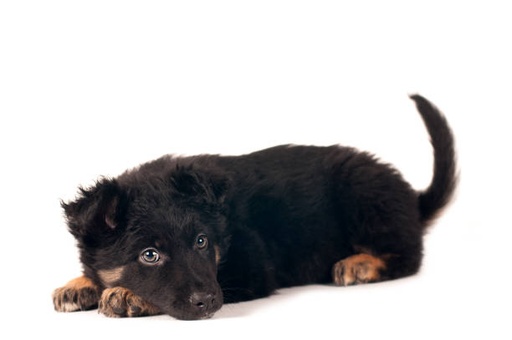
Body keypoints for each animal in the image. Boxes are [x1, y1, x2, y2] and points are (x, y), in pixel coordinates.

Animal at [54, 94, 458, 320]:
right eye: (149, 255)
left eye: (201, 242)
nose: (207, 302)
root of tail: (411, 200)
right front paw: (79, 284)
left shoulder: (250, 268)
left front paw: (128, 295)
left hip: (362, 193)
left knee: (408, 256)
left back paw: (361, 264)